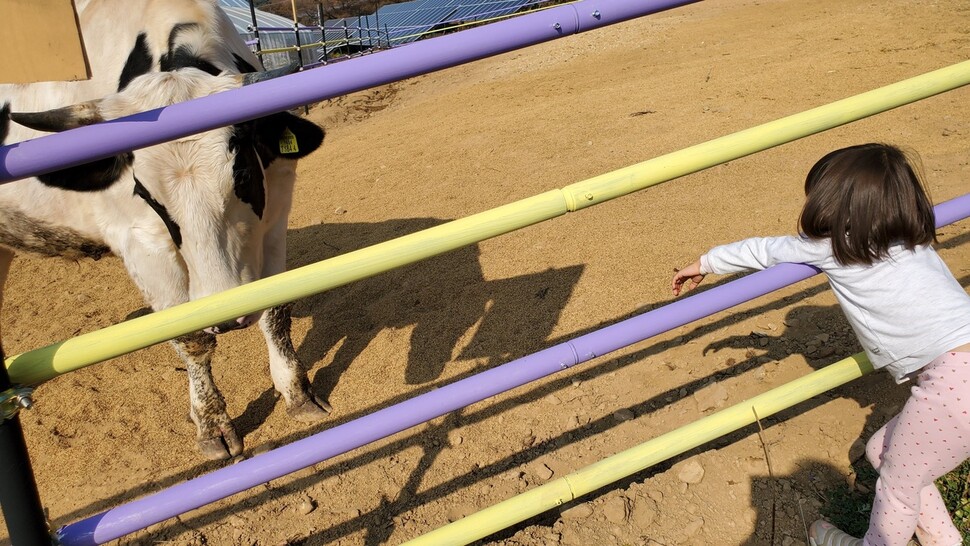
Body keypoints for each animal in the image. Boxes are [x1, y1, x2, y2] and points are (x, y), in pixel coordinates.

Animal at [0, 1, 328, 460]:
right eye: (144, 192)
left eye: (243, 172)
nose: (225, 313)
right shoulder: (140, 241)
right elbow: (189, 336)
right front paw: (211, 425)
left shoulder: (278, 204)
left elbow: (276, 308)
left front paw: (297, 392)